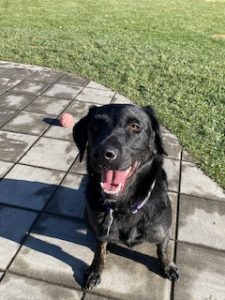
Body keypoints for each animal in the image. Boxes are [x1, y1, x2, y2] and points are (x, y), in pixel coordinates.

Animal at [73, 103, 180, 288]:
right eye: (95, 126)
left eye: (135, 126)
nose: (103, 154)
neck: (125, 205)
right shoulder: (101, 231)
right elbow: (99, 250)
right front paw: (95, 270)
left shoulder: (163, 230)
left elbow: (163, 248)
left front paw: (167, 265)